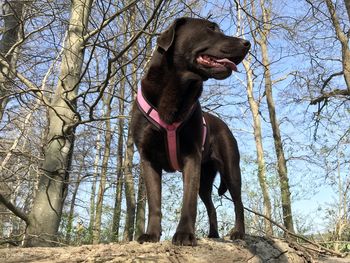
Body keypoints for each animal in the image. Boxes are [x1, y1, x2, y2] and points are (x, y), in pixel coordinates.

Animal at [131, 17, 249, 246]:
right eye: (211, 29)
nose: (247, 43)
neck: (176, 90)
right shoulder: (148, 159)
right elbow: (154, 202)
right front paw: (151, 234)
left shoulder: (191, 156)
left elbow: (188, 201)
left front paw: (185, 234)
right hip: (206, 179)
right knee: (211, 206)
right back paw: (213, 234)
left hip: (231, 168)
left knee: (238, 202)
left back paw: (239, 232)